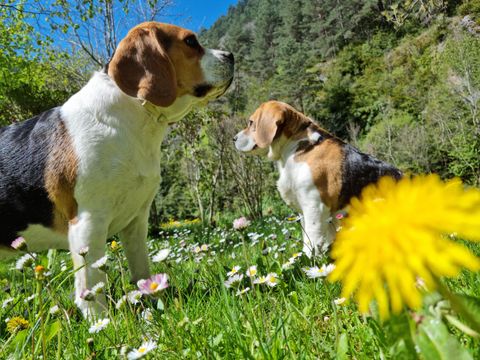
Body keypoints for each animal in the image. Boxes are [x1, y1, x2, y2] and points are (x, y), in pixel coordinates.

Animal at [0, 21, 234, 316]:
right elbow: (91, 284)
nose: (231, 55)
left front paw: (151, 299)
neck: (134, 114)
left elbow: (141, 268)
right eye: (191, 42)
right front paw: (100, 321)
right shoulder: (88, 222)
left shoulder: (137, 220)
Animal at [233, 101, 402, 258]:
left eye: (251, 122)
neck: (299, 146)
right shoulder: (304, 211)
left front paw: (308, 260)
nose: (233, 138)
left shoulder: (313, 206)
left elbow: (312, 240)